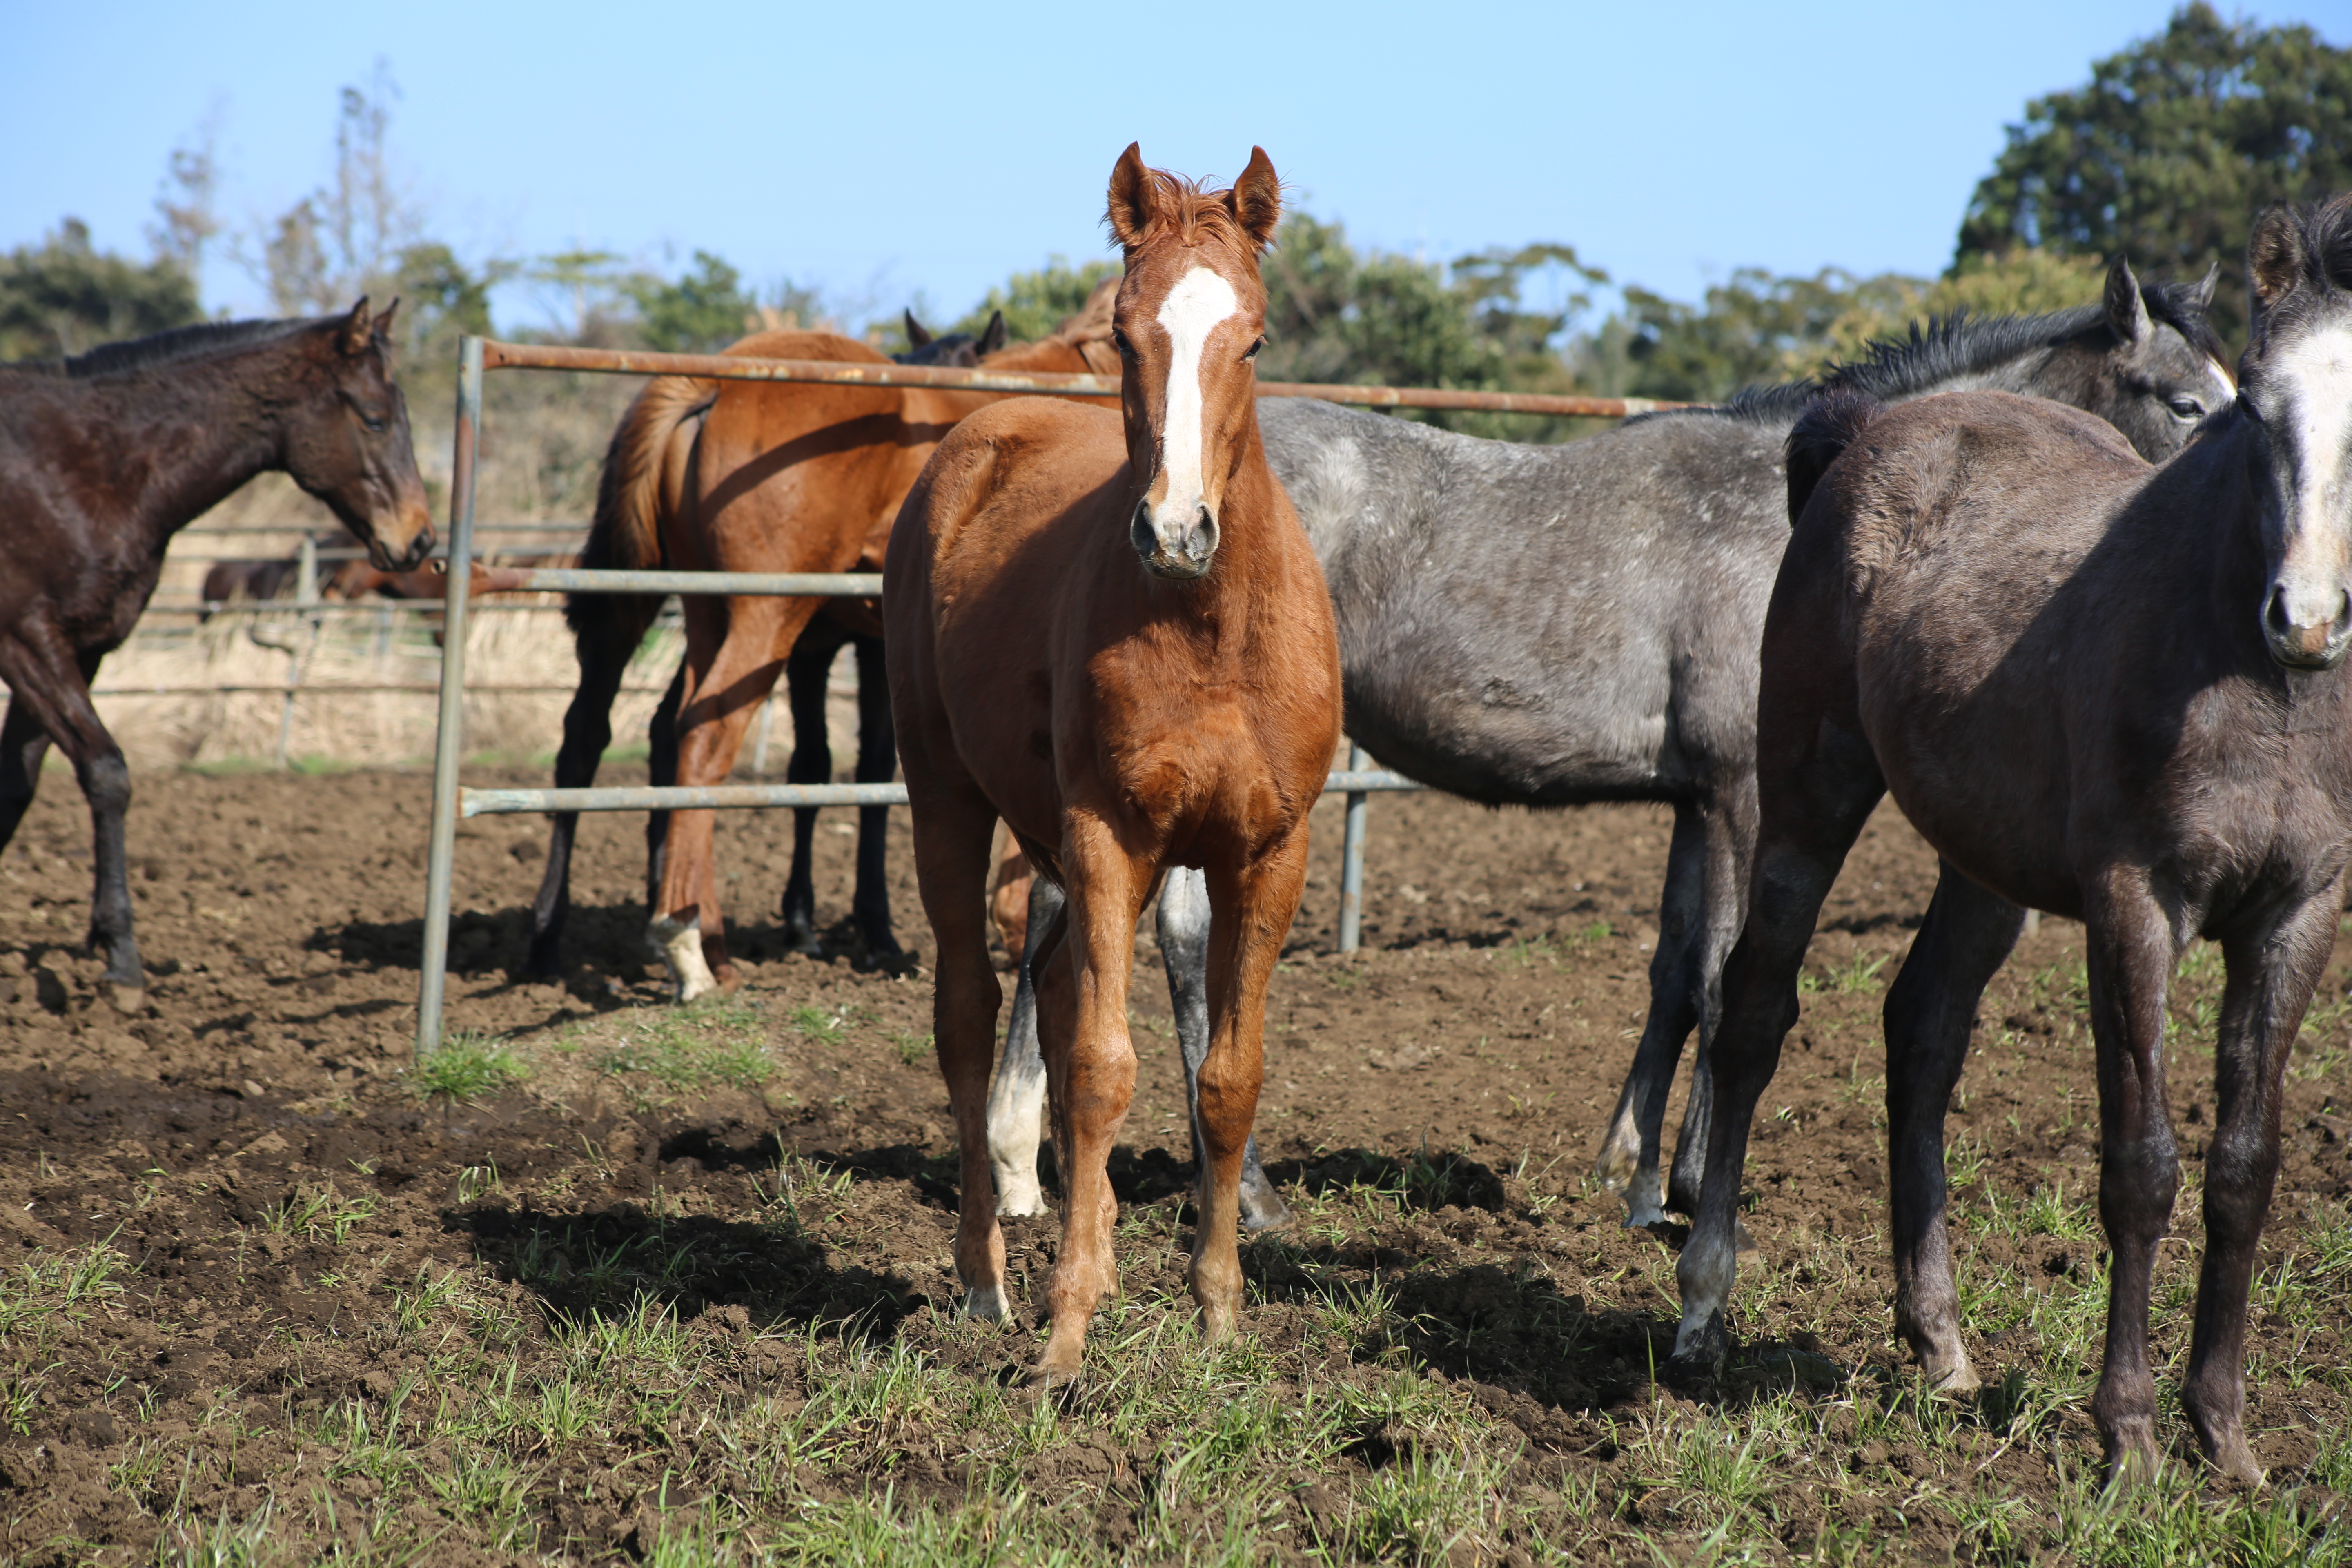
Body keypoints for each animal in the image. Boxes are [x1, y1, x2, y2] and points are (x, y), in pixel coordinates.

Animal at [0, 303, 432, 1011]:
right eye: (374, 417)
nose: (418, 539)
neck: (82, 465)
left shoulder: (79, 650)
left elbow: (17, 785)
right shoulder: (27, 640)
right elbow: (108, 774)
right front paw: (122, 960)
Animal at [527, 305, 1119, 992]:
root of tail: (717, 382)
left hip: (706, 614)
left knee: (632, 733)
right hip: (766, 616)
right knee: (703, 735)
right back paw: (686, 944)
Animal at [884, 141, 1345, 1382]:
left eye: (1254, 339)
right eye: (1128, 335)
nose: (1176, 532)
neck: (1212, 632)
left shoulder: (1265, 853)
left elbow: (1227, 1078)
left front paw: (1219, 1312)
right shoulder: (1108, 837)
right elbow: (1100, 1071)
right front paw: (1067, 1333)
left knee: (1039, 993)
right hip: (946, 796)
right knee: (968, 1011)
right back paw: (986, 1280)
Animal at [983, 261, 2230, 1241]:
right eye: (2184, 401)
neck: (1794, 515)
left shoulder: (1692, 804)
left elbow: (1675, 972)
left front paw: (1626, 1171)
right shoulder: (1742, 798)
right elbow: (1729, 983)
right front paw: (1686, 1188)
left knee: (1071, 912)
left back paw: (1034, 1169)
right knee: (1170, 933)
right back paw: (1211, 1189)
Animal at [1665, 196, 2352, 1486]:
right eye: (2247, 406)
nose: (2309, 617)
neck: (2247, 678)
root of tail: (1872, 428)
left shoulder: (2297, 915)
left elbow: (2244, 1167)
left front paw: (2225, 1441)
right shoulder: (2136, 904)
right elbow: (2141, 1165)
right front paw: (2128, 1439)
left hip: (1983, 869)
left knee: (1923, 1028)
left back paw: (1938, 1341)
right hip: (1807, 801)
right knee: (1753, 1014)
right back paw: (1702, 1305)